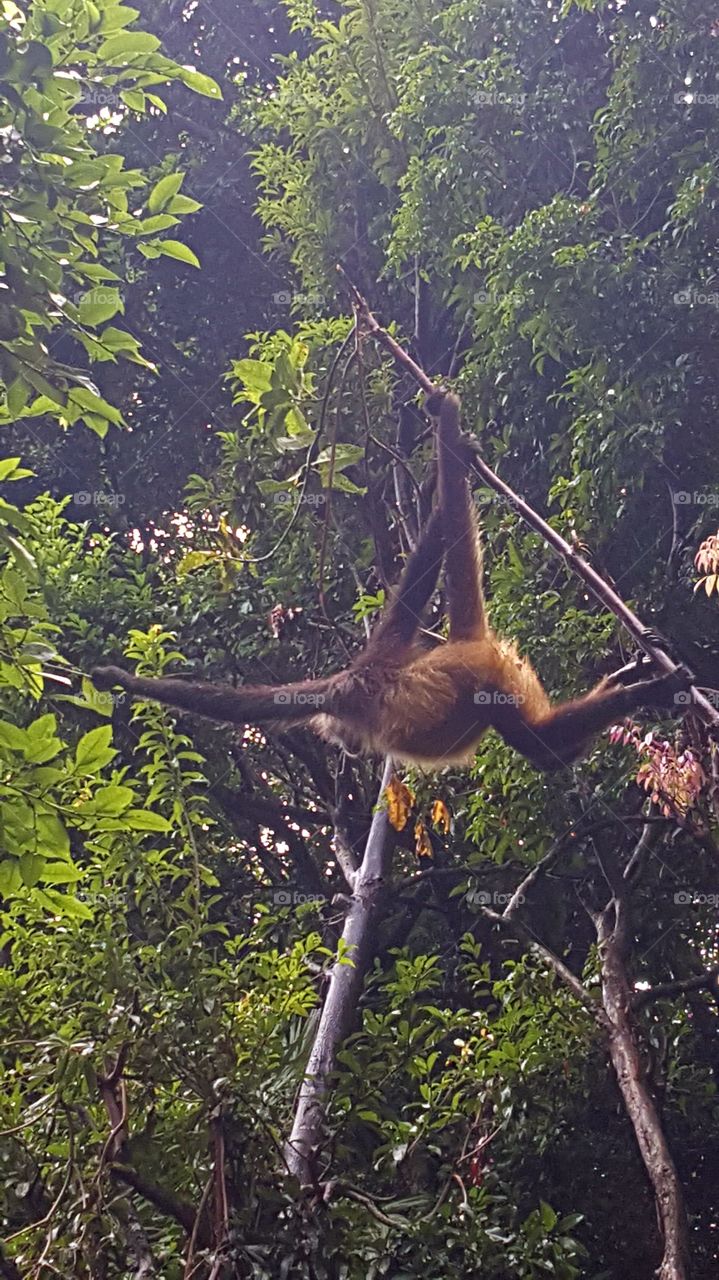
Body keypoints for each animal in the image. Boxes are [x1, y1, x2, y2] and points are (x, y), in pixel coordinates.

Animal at [92, 392, 691, 772]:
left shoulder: (342, 688)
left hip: (488, 683)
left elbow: (245, 705)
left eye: (338, 736)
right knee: (553, 751)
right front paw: (457, 456)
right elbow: (416, 579)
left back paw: (656, 688)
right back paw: (637, 672)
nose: (347, 752)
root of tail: (465, 644)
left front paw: (116, 677)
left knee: (539, 747)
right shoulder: (388, 643)